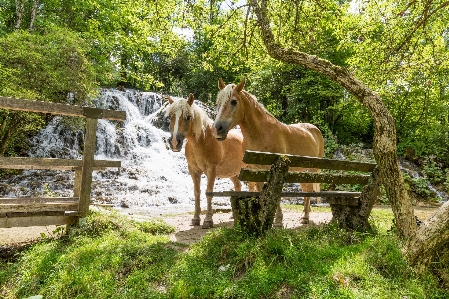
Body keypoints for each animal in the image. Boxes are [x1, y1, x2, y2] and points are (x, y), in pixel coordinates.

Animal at [165, 95, 250, 229]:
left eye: (188, 117)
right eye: (170, 117)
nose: (174, 142)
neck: (203, 140)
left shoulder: (211, 170)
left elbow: (209, 192)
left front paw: (208, 220)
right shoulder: (193, 171)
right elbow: (197, 193)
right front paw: (196, 219)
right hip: (233, 173)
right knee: (238, 186)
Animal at [212, 78, 324, 226]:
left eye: (234, 101)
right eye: (217, 102)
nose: (217, 129)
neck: (261, 134)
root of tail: (314, 129)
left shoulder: (275, 168)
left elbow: (275, 193)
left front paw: (277, 220)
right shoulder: (255, 169)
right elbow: (261, 191)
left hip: (311, 169)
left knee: (309, 189)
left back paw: (305, 217)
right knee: (306, 188)